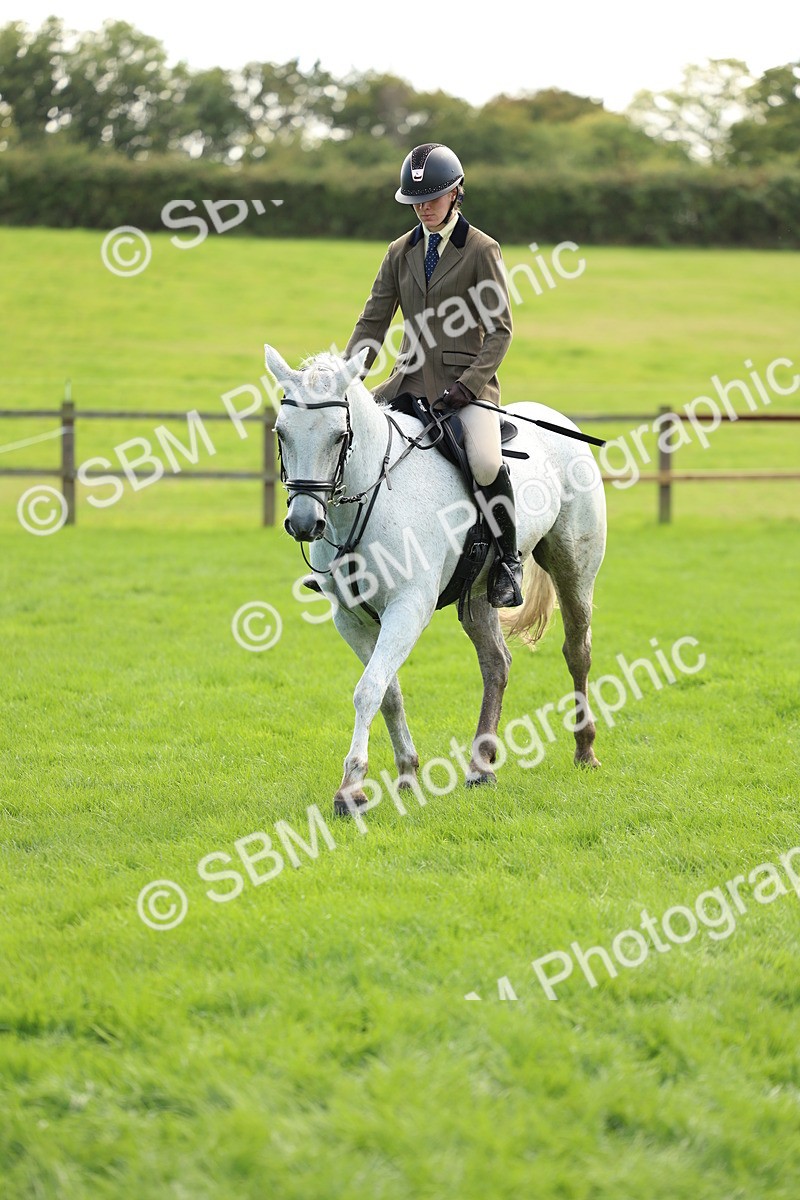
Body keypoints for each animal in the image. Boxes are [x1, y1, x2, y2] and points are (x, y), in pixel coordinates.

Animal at [265, 345, 607, 815]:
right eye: (282, 433)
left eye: (338, 436)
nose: (303, 523)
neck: (372, 495)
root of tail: (560, 422)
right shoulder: (350, 618)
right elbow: (388, 692)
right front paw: (407, 774)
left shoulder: (408, 607)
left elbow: (368, 690)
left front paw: (351, 789)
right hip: (479, 593)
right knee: (496, 664)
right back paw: (481, 767)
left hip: (574, 569)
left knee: (577, 652)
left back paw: (584, 750)